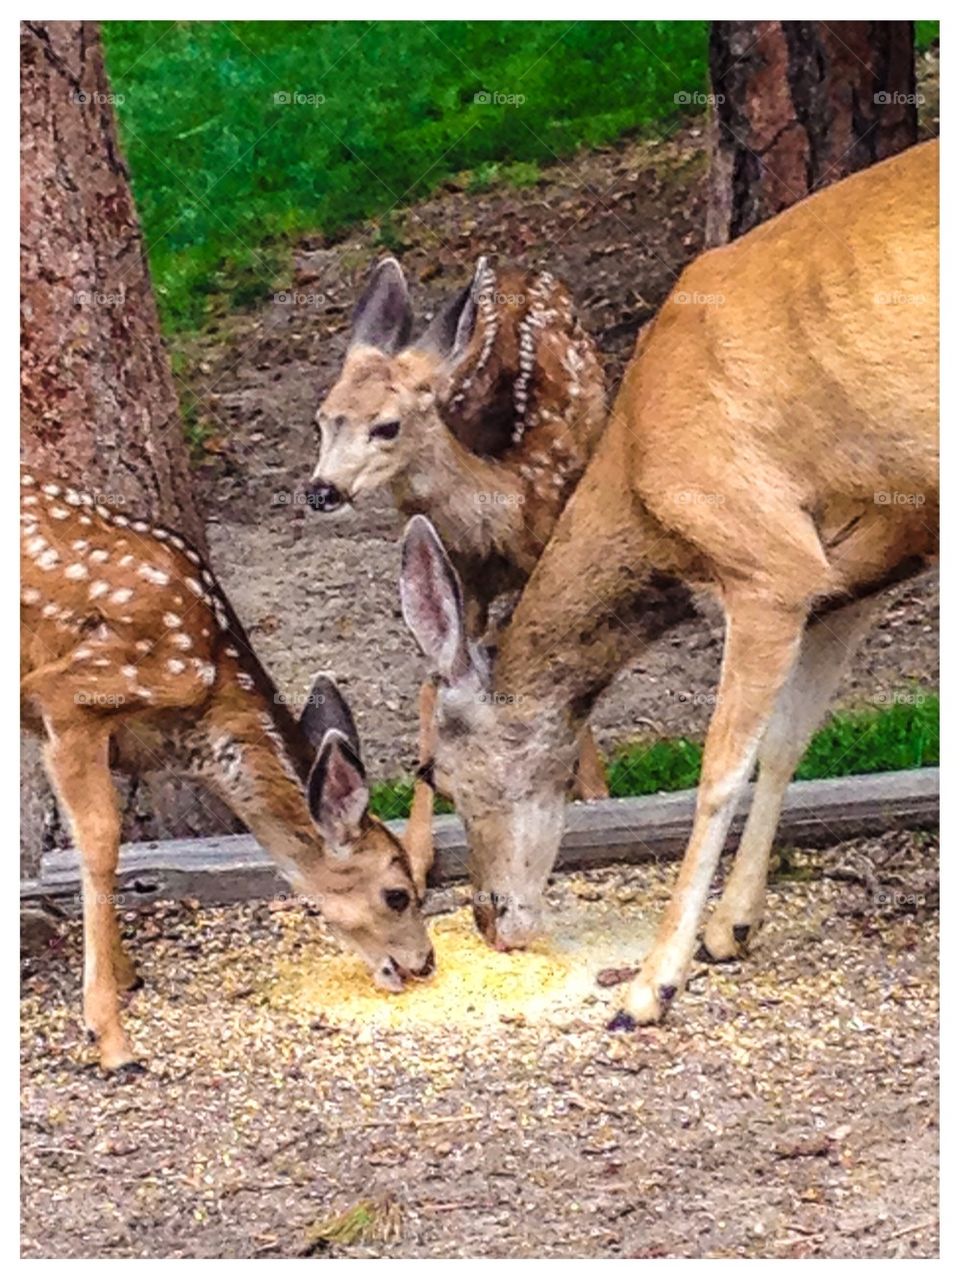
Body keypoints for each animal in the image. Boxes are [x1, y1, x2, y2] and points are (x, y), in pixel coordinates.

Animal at [20, 465, 434, 1073]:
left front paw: (125, 975)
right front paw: (111, 1037)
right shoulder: (70, 696)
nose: (425, 961)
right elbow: (99, 842)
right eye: (398, 893)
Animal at [305, 256, 610, 893]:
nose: (322, 490)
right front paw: (419, 853)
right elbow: (433, 686)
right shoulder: (453, 578)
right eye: (321, 420)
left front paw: (594, 792)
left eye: (387, 426)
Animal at [399, 139, 938, 1021]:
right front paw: (733, 927)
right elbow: (788, 743)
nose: (489, 918)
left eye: (431, 769)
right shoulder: (850, 574)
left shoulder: (766, 559)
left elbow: (719, 770)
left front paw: (652, 983)